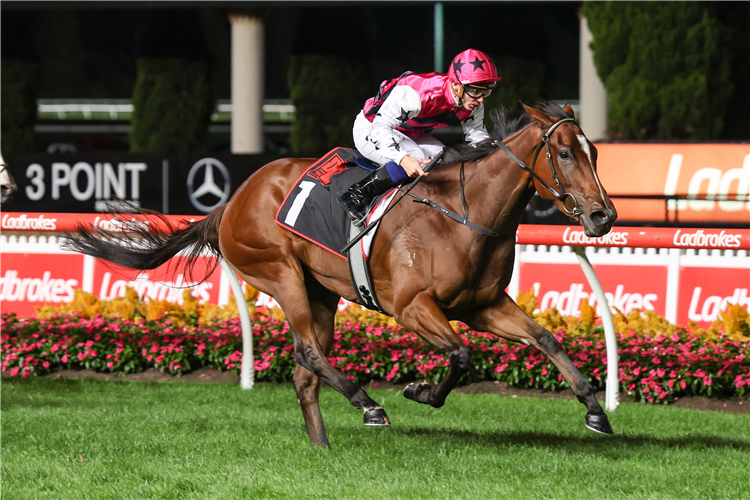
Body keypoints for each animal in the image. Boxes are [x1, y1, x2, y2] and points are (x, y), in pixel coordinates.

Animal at [63, 101, 616, 446]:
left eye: (594, 152)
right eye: (564, 153)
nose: (603, 216)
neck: (465, 214)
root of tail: (232, 200)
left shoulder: (483, 305)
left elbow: (546, 339)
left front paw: (595, 409)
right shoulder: (411, 307)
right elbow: (460, 354)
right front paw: (419, 391)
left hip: (320, 293)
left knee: (306, 374)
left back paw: (321, 446)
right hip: (279, 272)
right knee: (307, 352)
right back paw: (367, 403)